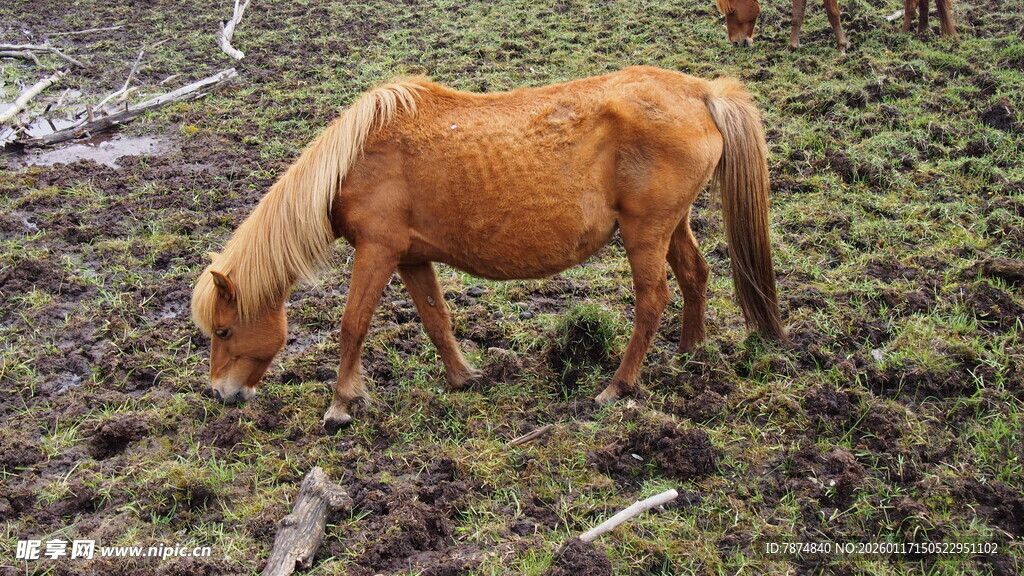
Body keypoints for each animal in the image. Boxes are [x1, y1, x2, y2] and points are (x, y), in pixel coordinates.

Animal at [191, 66, 787, 433]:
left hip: (646, 234)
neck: (356, 159)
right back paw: (690, 353)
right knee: (694, 276)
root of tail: (702, 92)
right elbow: (436, 320)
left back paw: (617, 386)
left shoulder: (377, 251)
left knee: (652, 300)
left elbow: (352, 325)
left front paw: (341, 405)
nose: (221, 394)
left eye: (224, 331)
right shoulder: (410, 257)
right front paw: (463, 379)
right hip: (671, 226)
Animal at [715, 0, 850, 54]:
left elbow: (832, 13)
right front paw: (793, 46)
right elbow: (797, 15)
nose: (735, 42)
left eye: (732, 11)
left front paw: (842, 45)